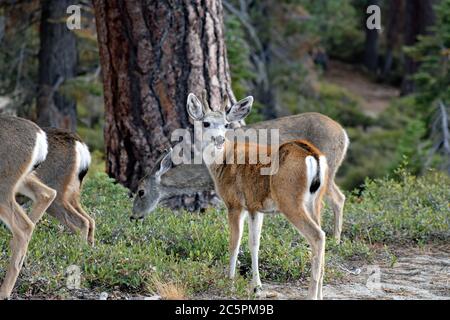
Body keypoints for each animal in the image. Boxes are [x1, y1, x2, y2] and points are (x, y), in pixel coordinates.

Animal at [0, 115, 56, 300]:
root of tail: (40, 136)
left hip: (4, 185)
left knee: (24, 226)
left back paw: (4, 292)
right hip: (23, 178)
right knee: (47, 193)